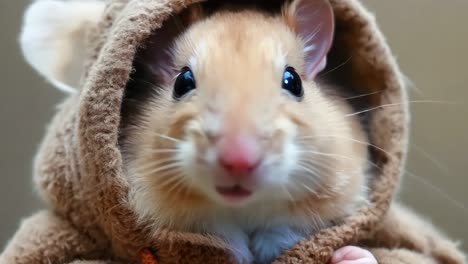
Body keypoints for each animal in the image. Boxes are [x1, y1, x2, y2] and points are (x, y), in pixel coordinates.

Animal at [119, 1, 376, 262]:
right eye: (183, 82)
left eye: (293, 82)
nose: (239, 162)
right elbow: (220, 234)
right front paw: (242, 254)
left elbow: (284, 229)